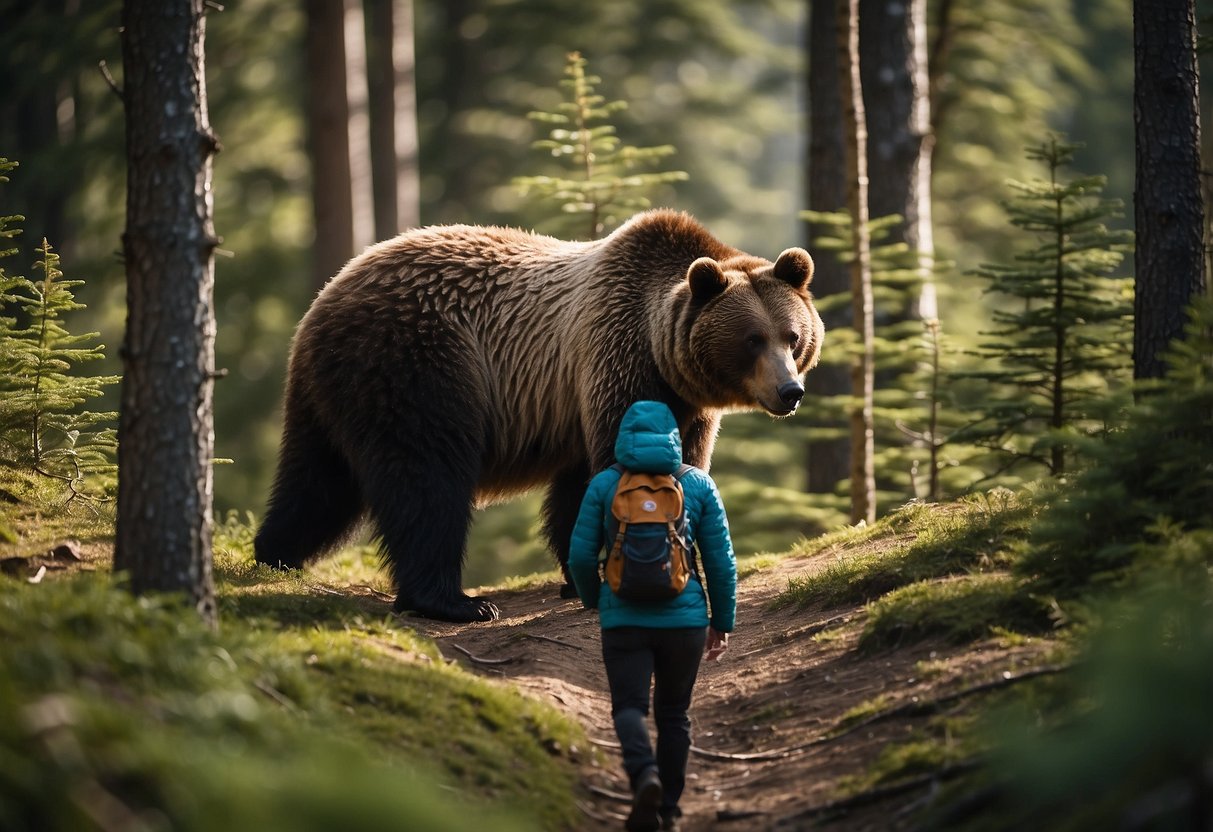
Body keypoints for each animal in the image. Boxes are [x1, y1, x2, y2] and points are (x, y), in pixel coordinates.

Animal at [254, 212, 824, 620]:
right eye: (752, 339)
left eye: (793, 336)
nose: (790, 391)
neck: (663, 353)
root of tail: (328, 294)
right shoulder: (619, 360)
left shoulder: (667, 403)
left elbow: (595, 486)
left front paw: (583, 573)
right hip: (420, 363)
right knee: (426, 477)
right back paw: (454, 602)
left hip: (329, 395)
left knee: (317, 481)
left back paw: (273, 554)